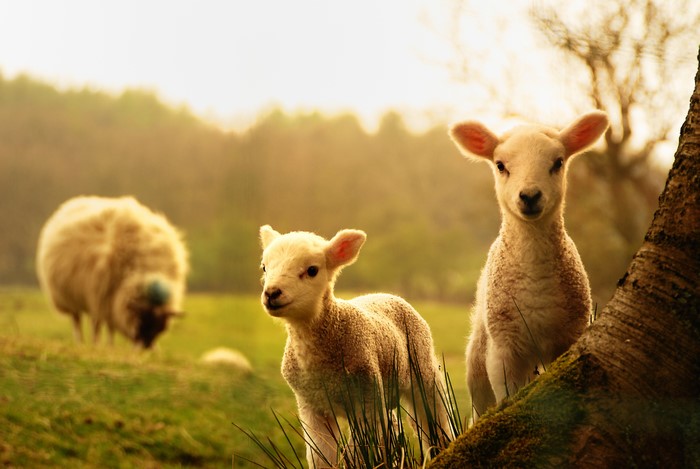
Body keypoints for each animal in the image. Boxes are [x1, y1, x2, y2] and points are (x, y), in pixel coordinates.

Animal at [36, 195, 189, 348]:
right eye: (142, 319)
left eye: (160, 327)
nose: (145, 348)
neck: (147, 270)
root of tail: (73, 202)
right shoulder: (102, 296)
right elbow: (102, 326)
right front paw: (101, 345)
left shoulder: (111, 301)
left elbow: (111, 326)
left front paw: (110, 346)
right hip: (69, 298)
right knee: (77, 321)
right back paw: (82, 342)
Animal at [259, 225, 452, 468]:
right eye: (264, 267)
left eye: (312, 270)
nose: (272, 293)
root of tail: (387, 294)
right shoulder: (312, 406)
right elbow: (320, 456)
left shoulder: (366, 399)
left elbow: (360, 453)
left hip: (422, 369)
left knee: (434, 419)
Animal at [449, 111, 609, 420]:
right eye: (500, 165)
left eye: (558, 162)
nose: (530, 196)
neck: (535, 277)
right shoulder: (504, 349)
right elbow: (506, 396)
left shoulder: (568, 338)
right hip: (478, 357)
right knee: (479, 406)